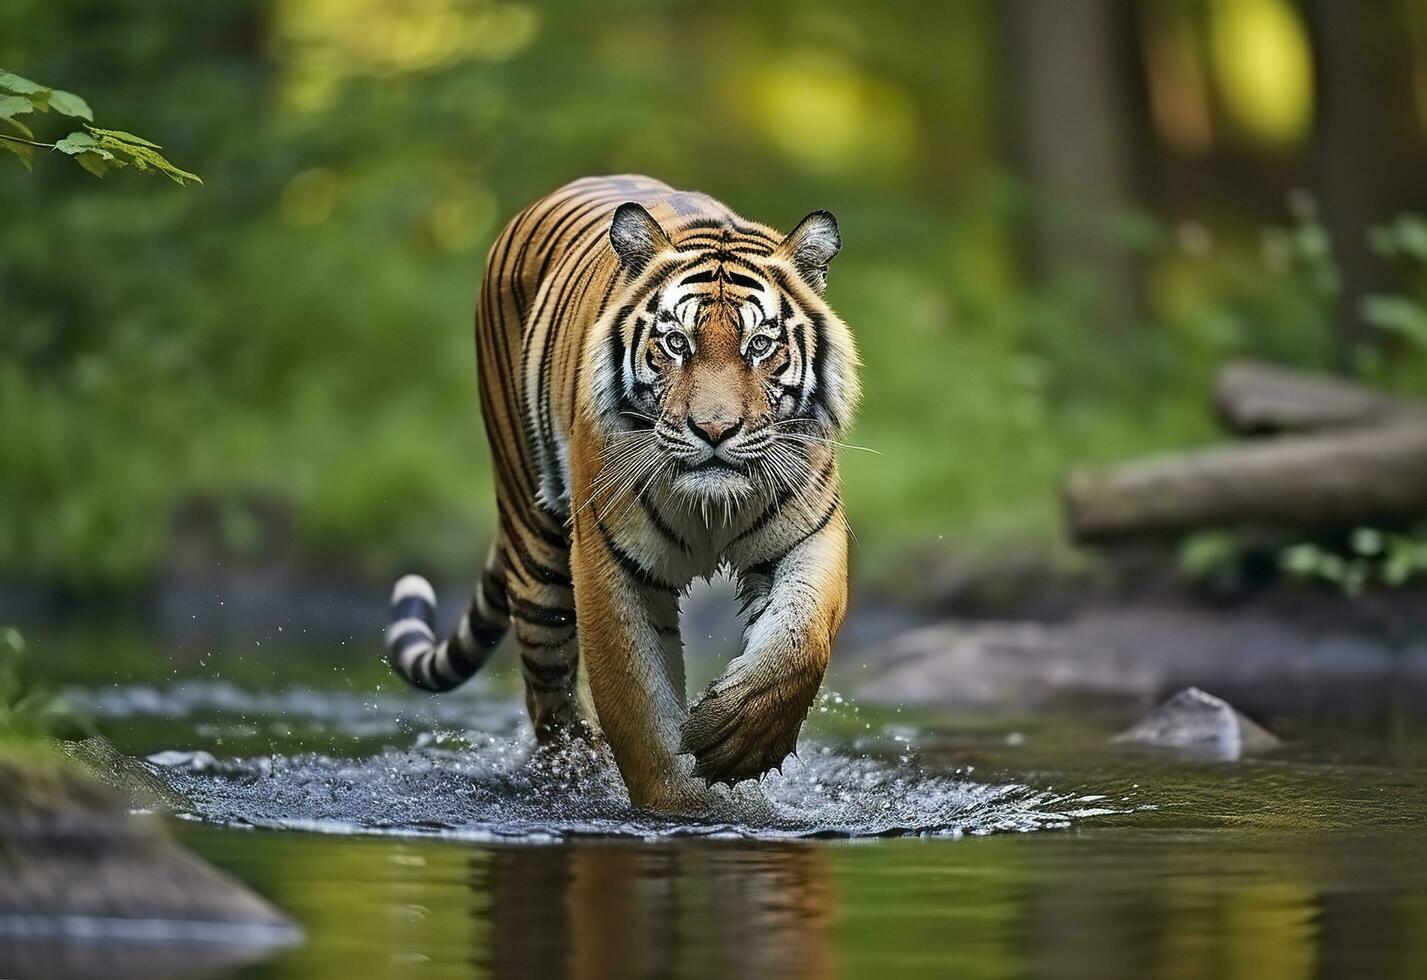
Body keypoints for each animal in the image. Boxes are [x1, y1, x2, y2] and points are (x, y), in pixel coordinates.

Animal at [385, 174, 856, 810]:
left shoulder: (809, 533)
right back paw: (575, 776)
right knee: (549, 699)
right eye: (676, 342)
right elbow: (639, 707)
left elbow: (801, 640)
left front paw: (738, 739)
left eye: (760, 345)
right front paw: (680, 807)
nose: (713, 430)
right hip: (536, 551)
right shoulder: (610, 561)